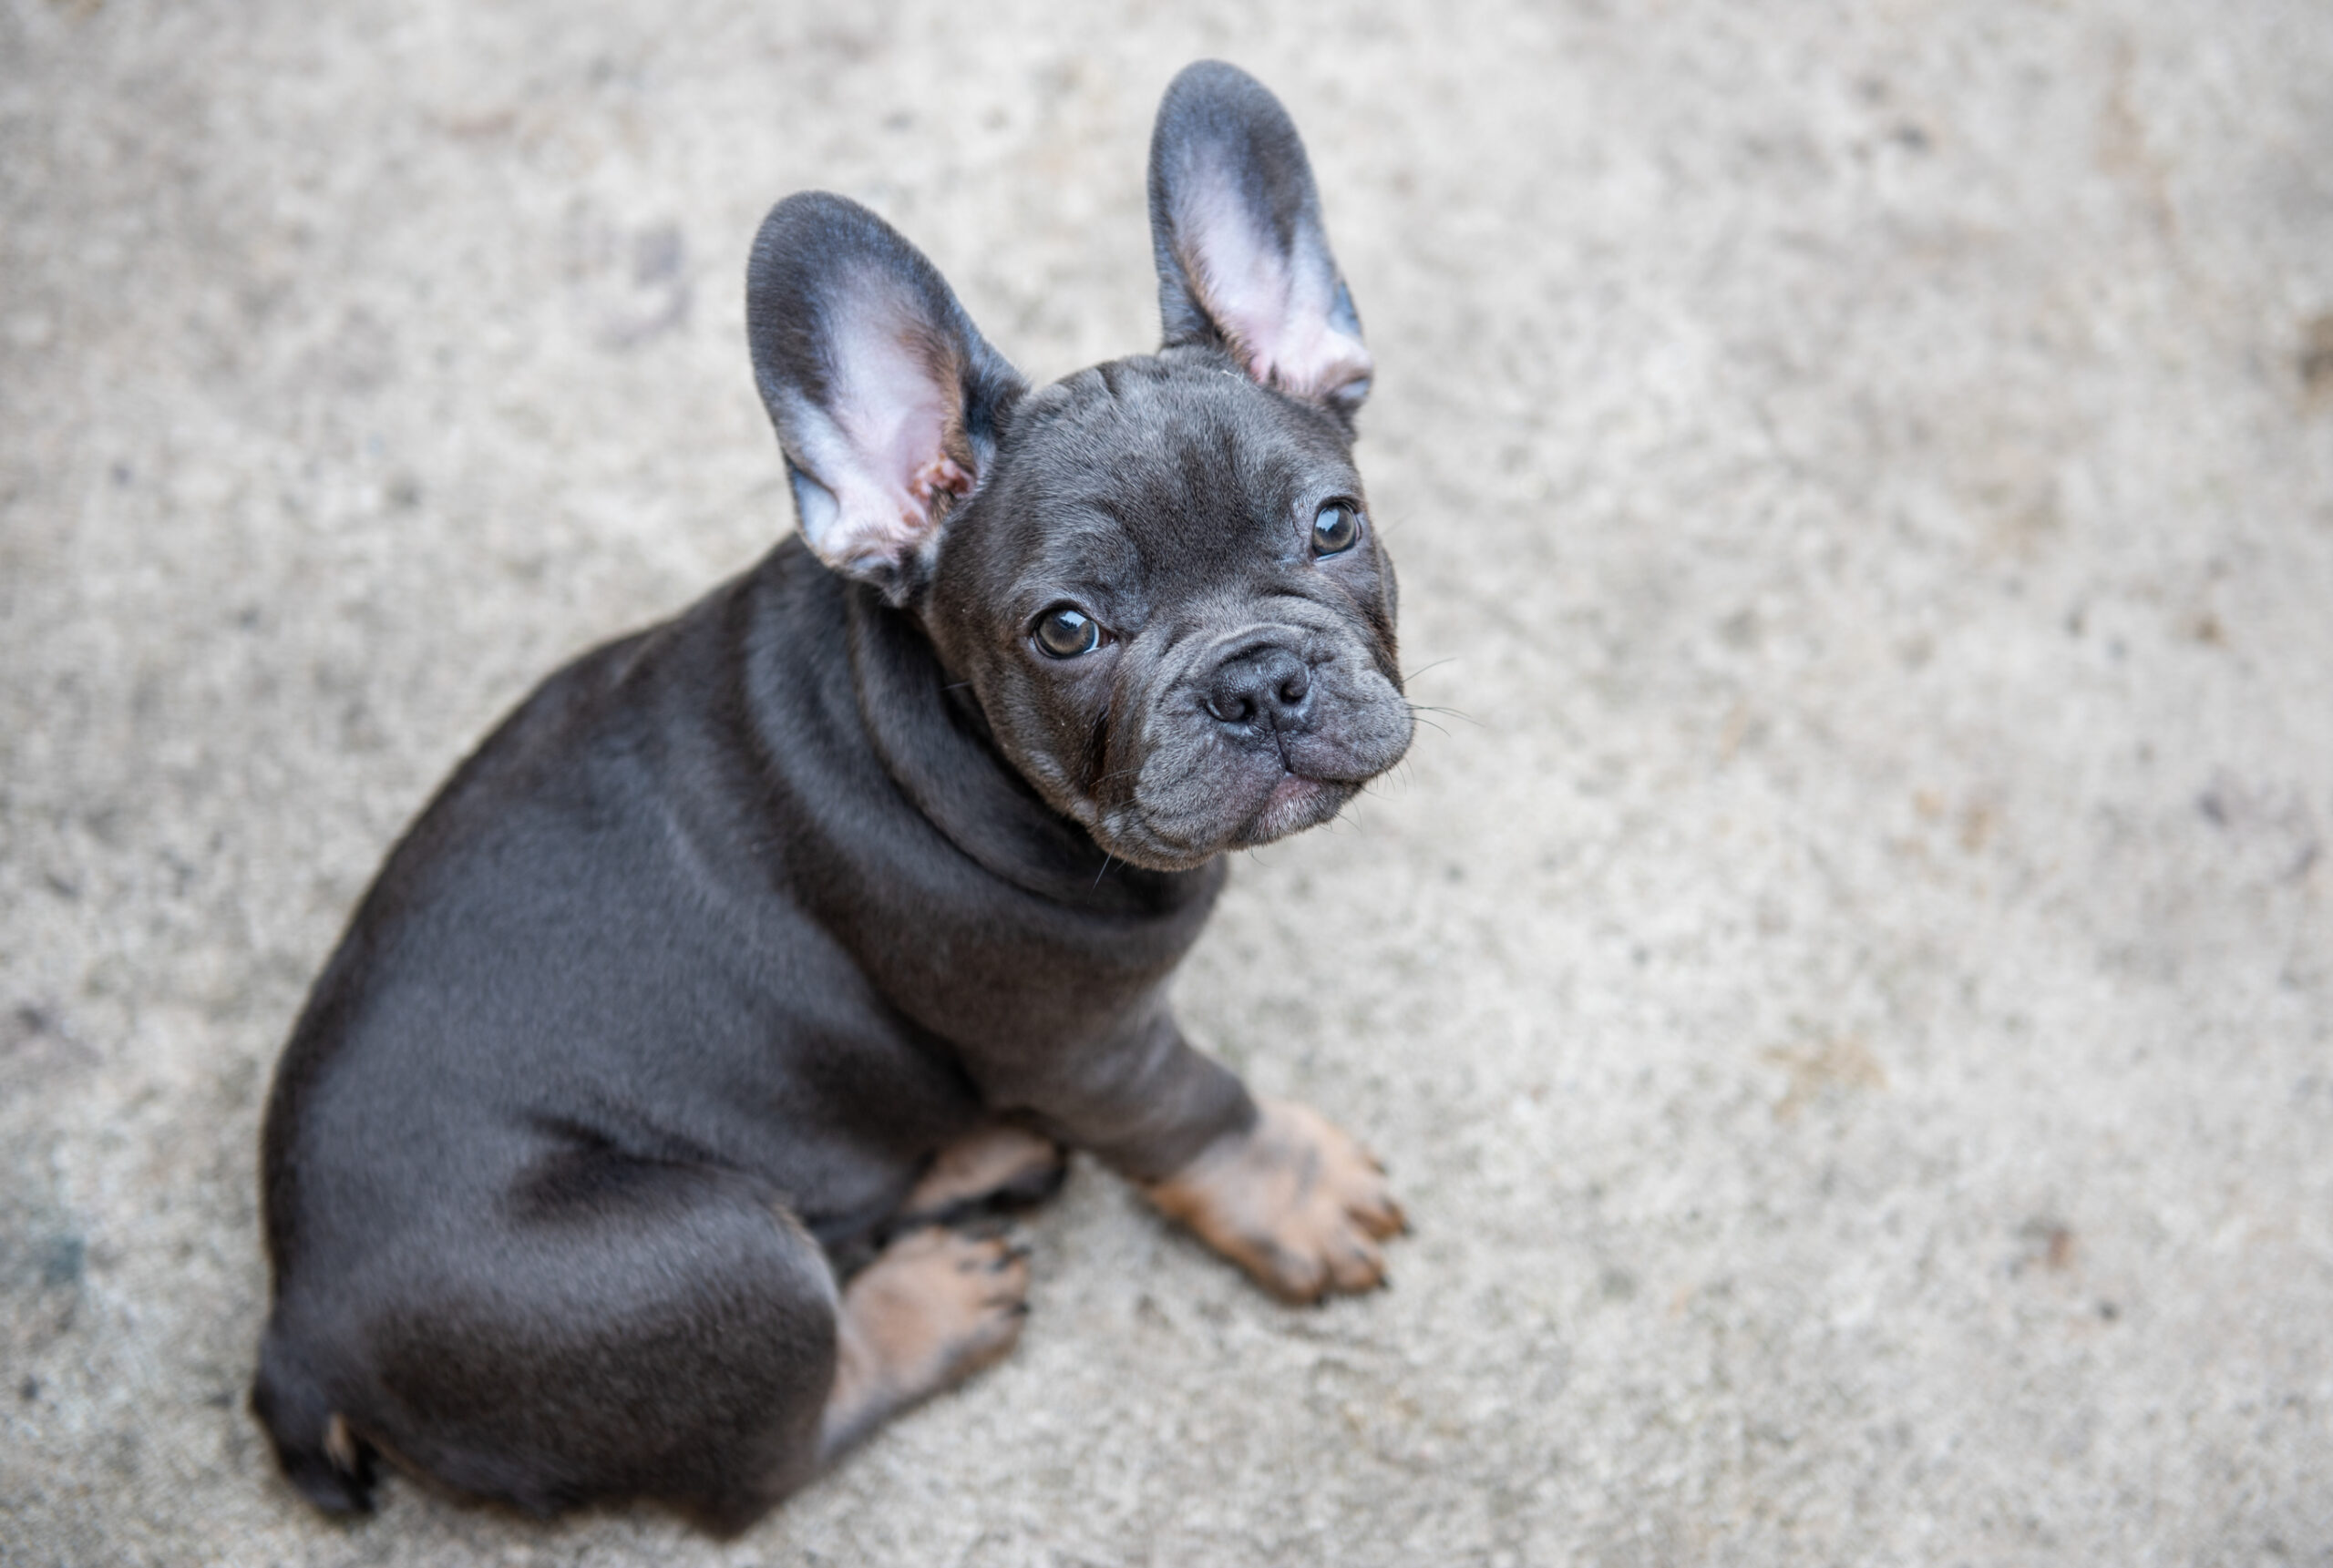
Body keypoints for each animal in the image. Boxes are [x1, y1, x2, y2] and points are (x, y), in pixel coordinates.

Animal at [260, 58, 1418, 1531]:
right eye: (1066, 631)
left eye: (1333, 525)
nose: (1260, 679)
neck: (940, 740)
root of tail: (295, 1325)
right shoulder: (1086, 1040)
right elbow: (1195, 1104)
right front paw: (1296, 1186)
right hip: (702, 1256)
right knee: (770, 1449)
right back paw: (927, 1303)